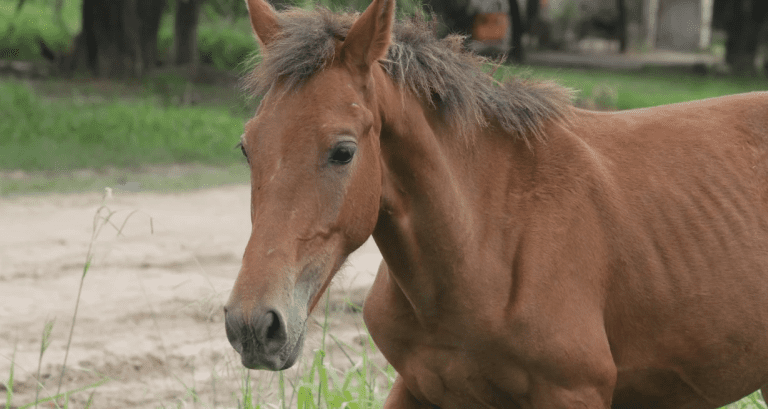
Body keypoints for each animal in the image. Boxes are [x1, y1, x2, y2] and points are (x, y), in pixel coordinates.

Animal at [224, 1, 768, 406]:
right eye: (247, 147)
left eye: (343, 151)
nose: (253, 325)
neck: (488, 243)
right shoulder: (420, 387)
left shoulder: (575, 392)